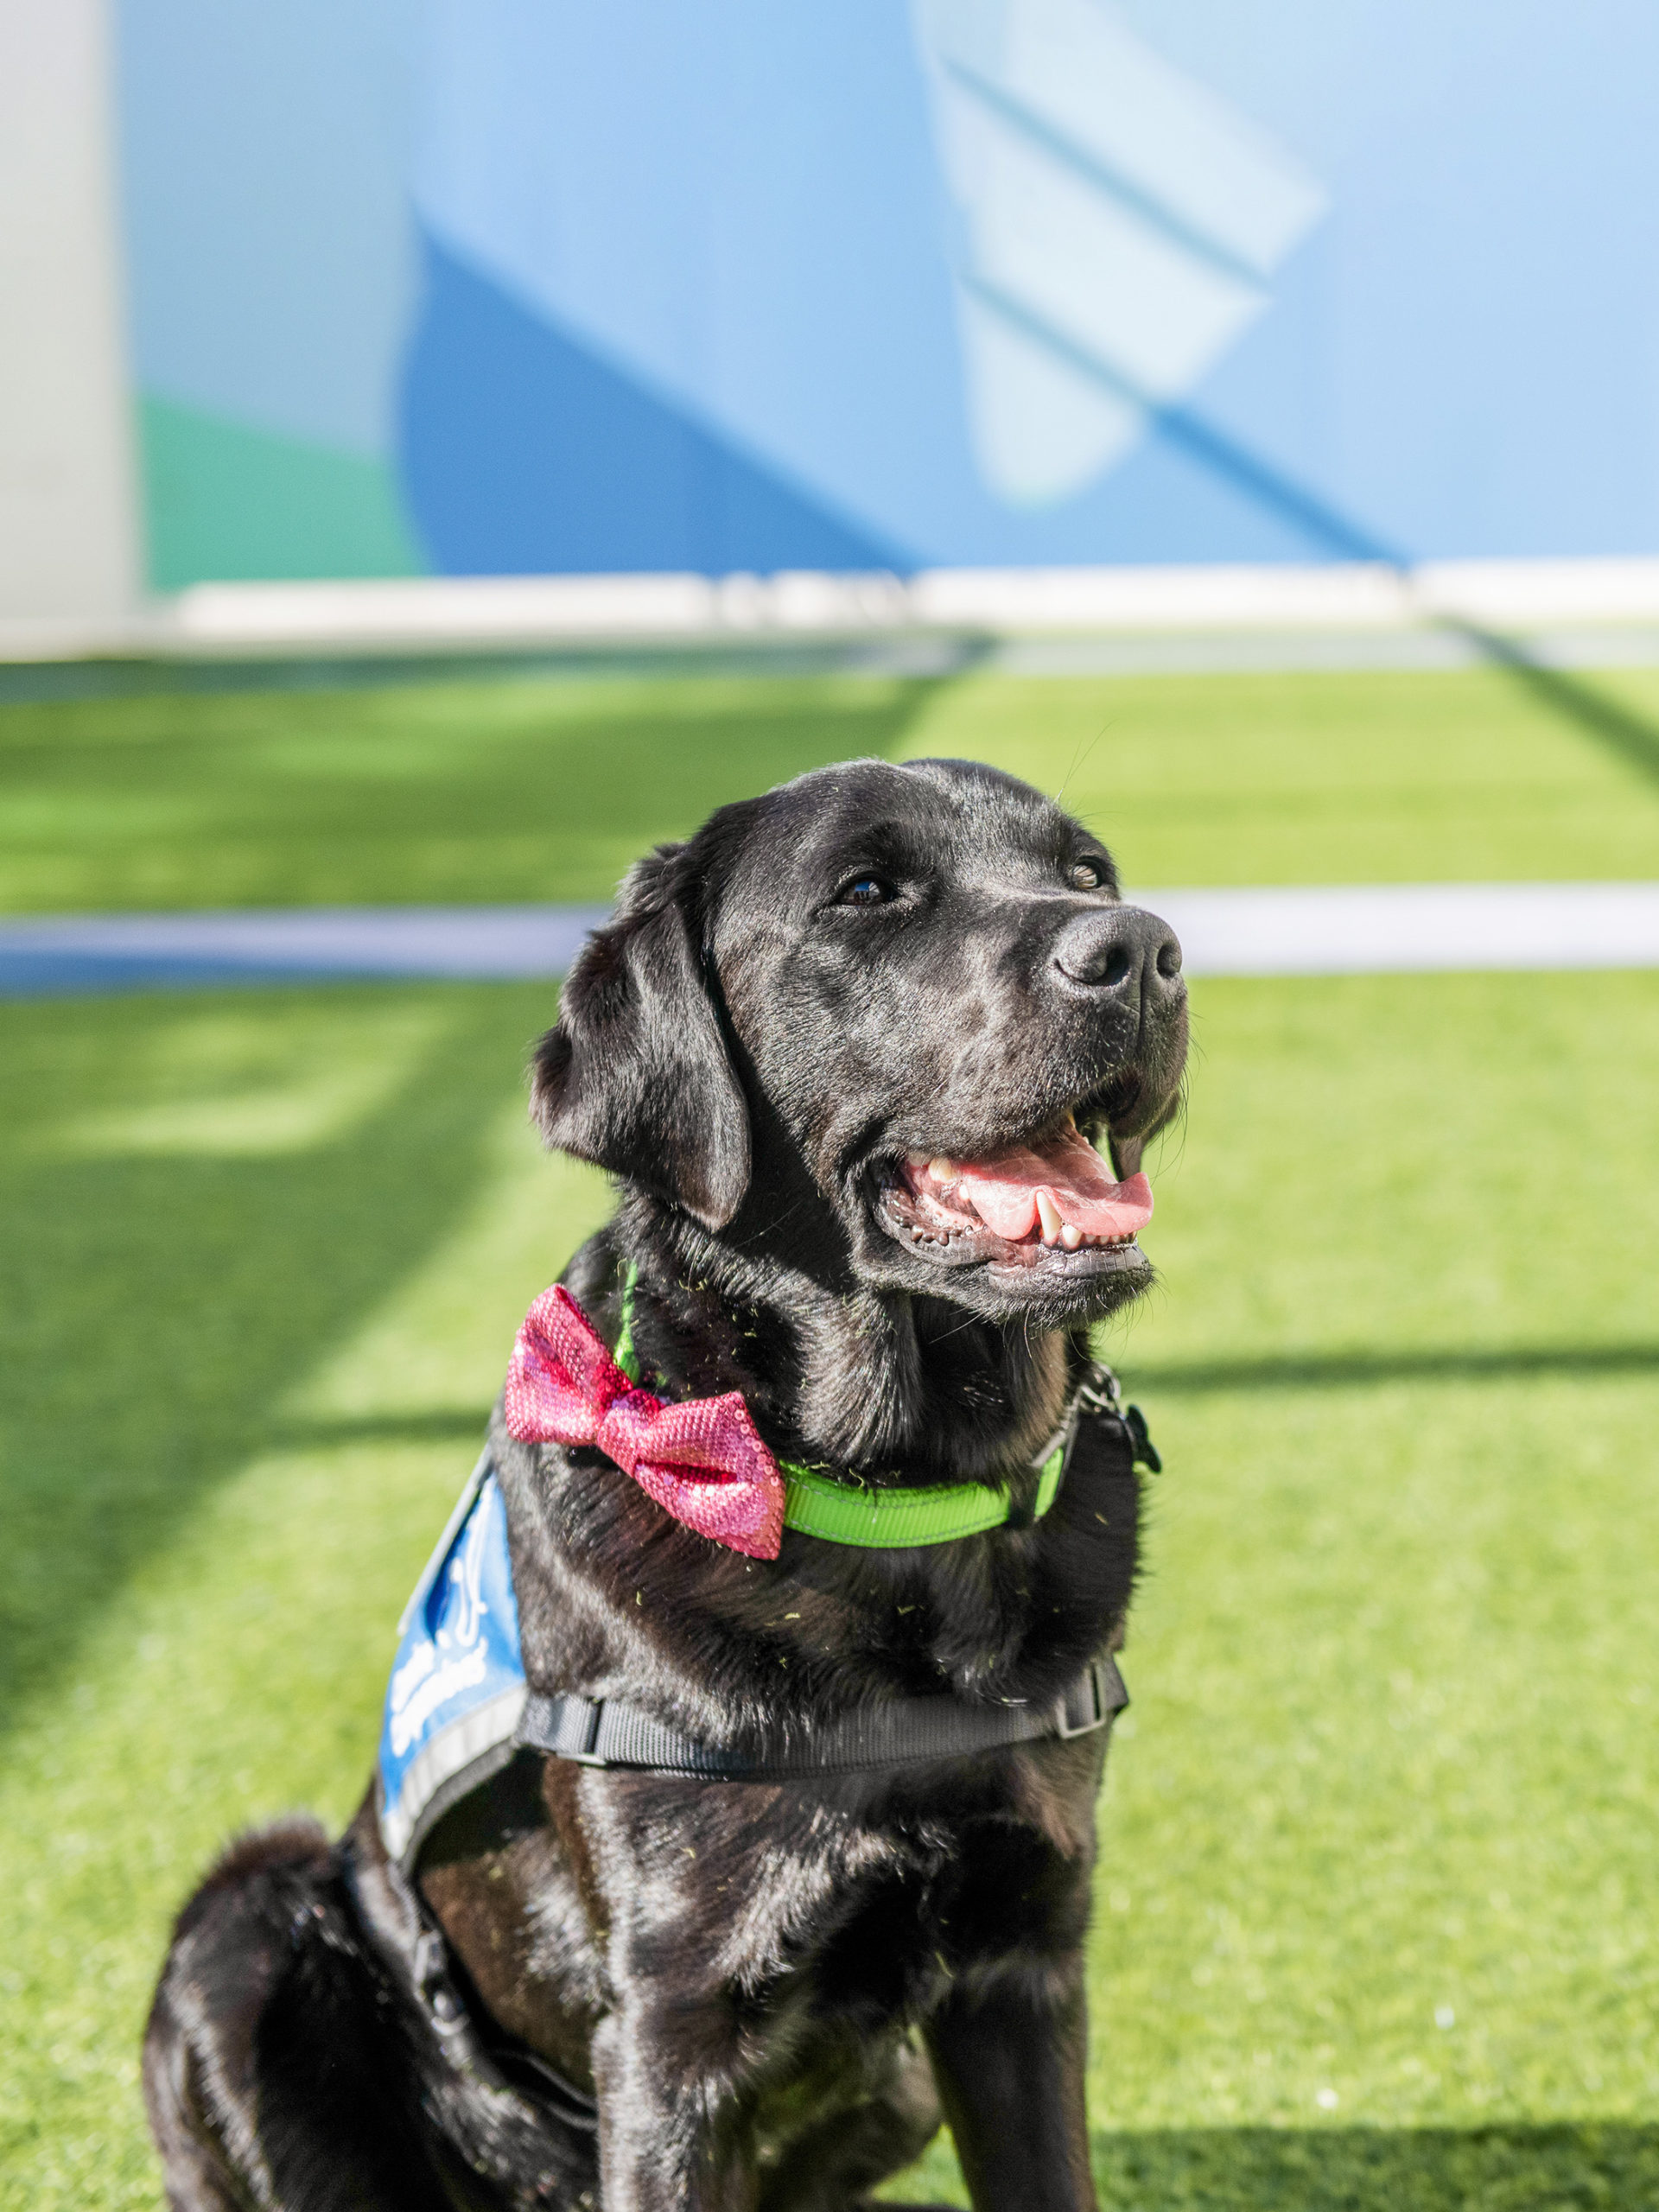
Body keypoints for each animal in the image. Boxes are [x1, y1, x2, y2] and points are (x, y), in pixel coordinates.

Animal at [139, 752, 1185, 2202]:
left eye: (1088, 872)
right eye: (870, 892)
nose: (1141, 950)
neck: (889, 1508)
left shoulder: (1024, 1958)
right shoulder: (673, 2026)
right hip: (239, 1926)